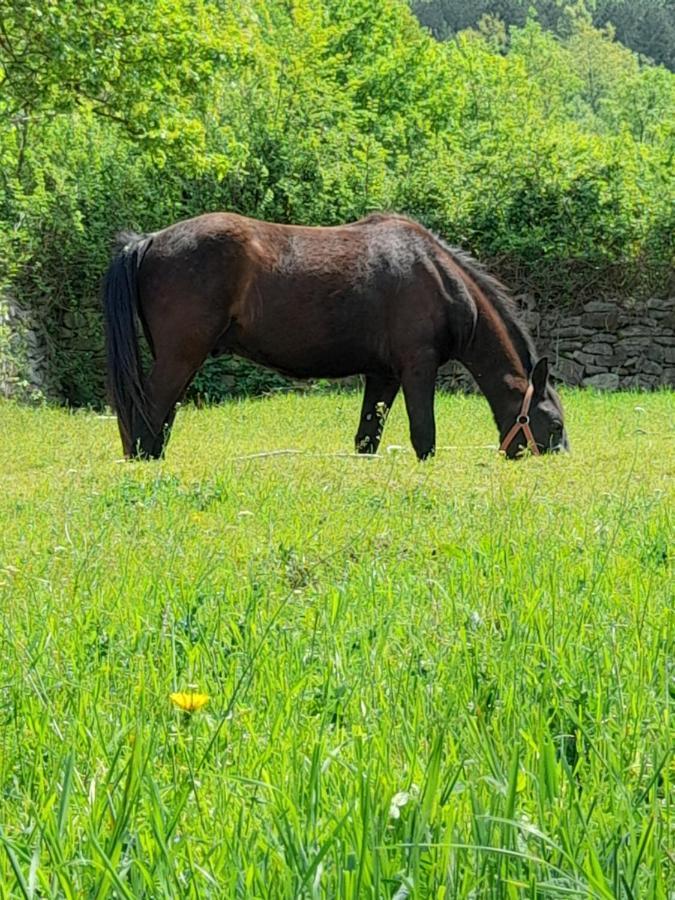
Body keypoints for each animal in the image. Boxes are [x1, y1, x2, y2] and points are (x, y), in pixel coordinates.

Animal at [103, 214, 568, 460]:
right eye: (555, 424)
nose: (560, 460)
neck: (436, 276)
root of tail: (147, 241)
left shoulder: (383, 376)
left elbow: (367, 439)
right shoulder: (418, 369)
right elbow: (424, 438)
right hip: (181, 357)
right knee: (148, 414)